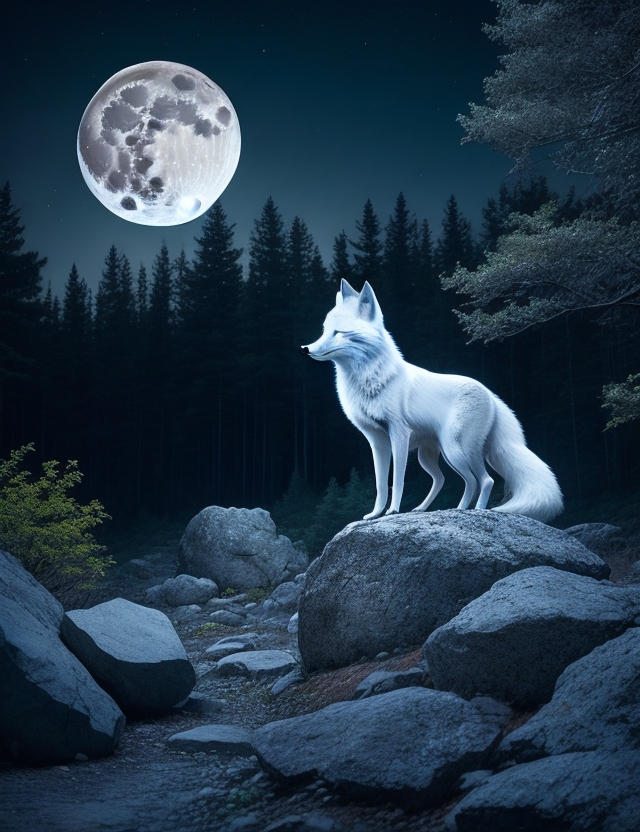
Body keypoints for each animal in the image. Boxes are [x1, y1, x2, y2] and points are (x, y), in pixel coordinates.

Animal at [301, 279, 563, 523]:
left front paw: (393, 511)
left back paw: (477, 511)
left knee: (484, 480)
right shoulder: (376, 441)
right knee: (449, 480)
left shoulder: (399, 435)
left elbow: (397, 480)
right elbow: (380, 484)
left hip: (456, 450)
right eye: (324, 330)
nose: (305, 348)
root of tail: (491, 394)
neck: (372, 379)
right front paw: (376, 514)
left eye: (339, 332)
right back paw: (445, 509)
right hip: (433, 456)